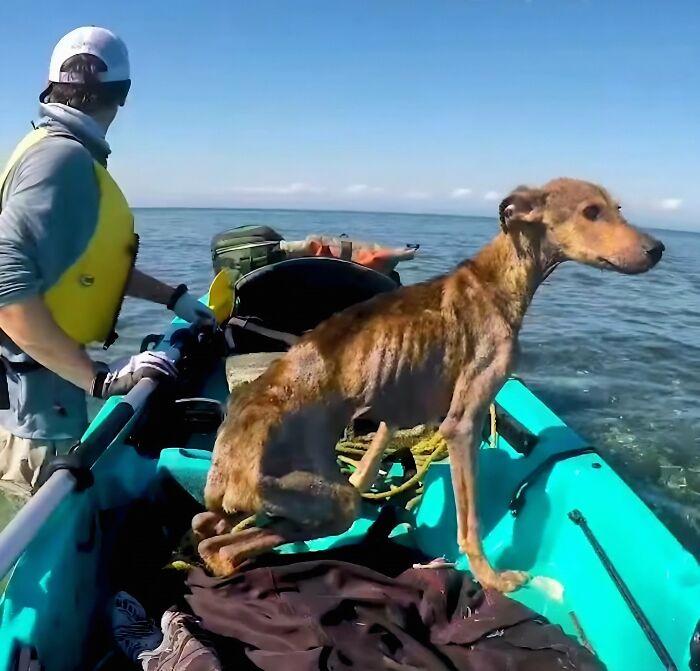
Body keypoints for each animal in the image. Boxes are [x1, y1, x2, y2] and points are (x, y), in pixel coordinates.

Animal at [194, 178, 664, 592]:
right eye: (591, 212)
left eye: (617, 208)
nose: (658, 249)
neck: (495, 279)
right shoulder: (463, 423)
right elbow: (470, 522)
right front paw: (492, 578)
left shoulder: (397, 409)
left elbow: (371, 460)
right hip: (329, 500)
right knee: (222, 547)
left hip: (281, 501)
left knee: (209, 531)